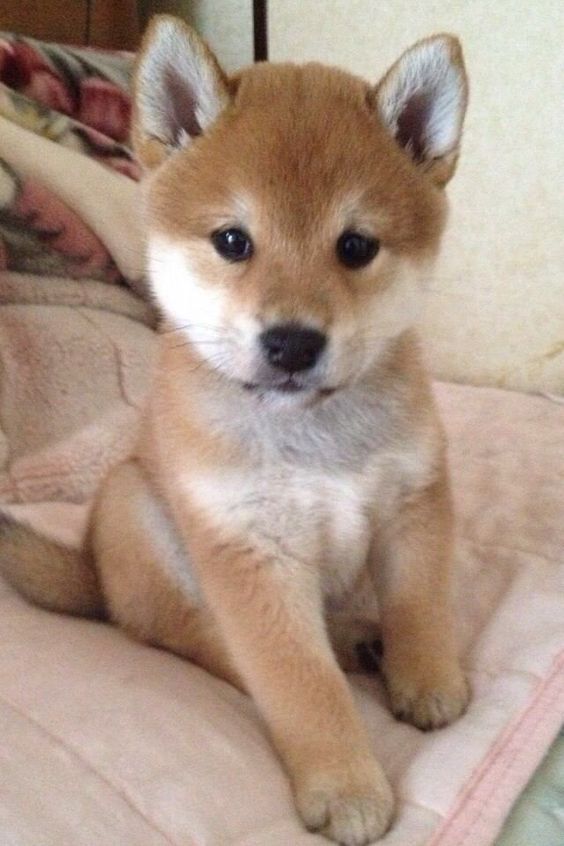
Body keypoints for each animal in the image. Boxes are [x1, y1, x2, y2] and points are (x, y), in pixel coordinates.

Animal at [0, 16, 470, 844]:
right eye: (231, 241)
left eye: (356, 246)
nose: (292, 343)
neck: (311, 431)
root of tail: (93, 574)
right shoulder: (252, 554)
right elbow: (300, 685)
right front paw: (345, 784)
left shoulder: (414, 501)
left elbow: (421, 604)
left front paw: (427, 677)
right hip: (132, 507)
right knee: (202, 643)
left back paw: (362, 636)